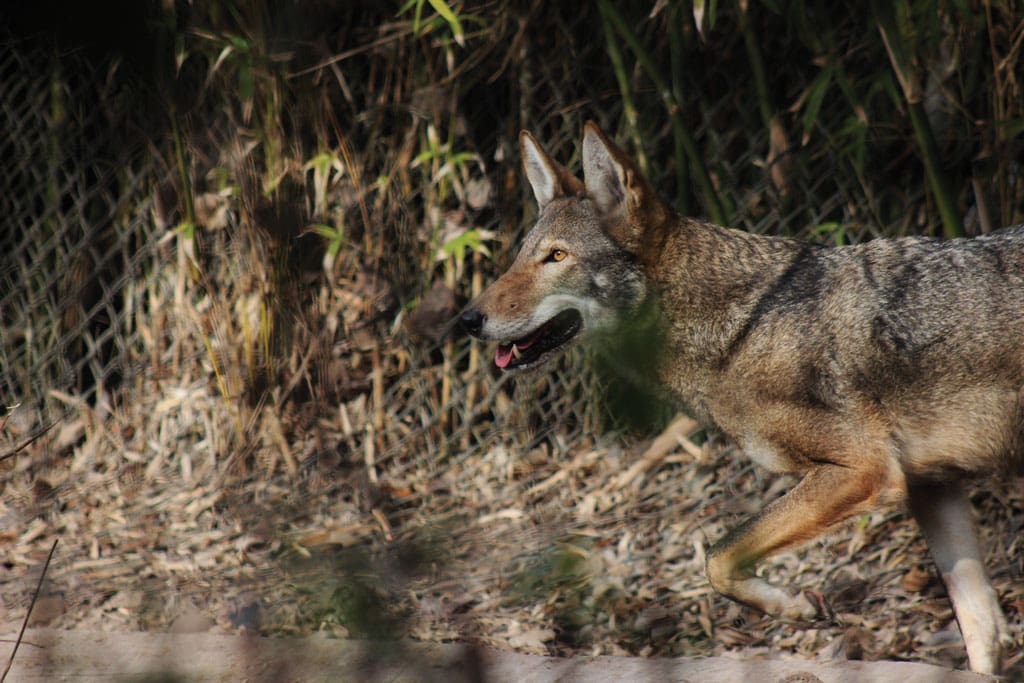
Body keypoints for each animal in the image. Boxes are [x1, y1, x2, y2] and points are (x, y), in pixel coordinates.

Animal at [460, 122, 1022, 674]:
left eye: (556, 257)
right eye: (520, 258)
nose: (468, 319)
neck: (742, 329)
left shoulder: (863, 470)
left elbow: (718, 557)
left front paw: (794, 607)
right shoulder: (932, 487)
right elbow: (983, 633)